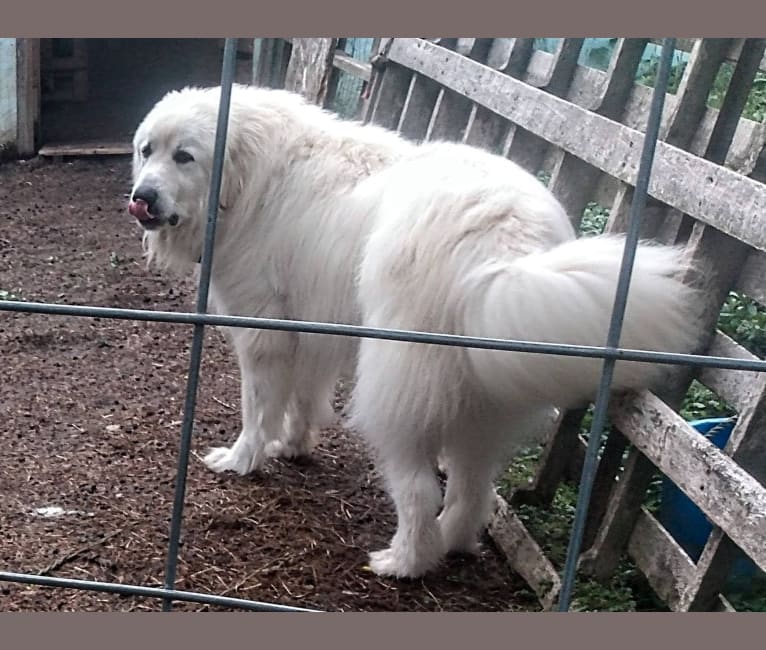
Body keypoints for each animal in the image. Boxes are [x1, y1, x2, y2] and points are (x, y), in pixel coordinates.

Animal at [129, 83, 704, 576]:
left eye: (185, 156)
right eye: (145, 150)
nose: (142, 197)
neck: (251, 177)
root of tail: (505, 248)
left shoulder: (262, 332)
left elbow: (258, 408)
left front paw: (243, 459)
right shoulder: (315, 328)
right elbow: (304, 397)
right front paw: (293, 445)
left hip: (395, 395)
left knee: (420, 491)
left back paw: (404, 563)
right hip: (484, 409)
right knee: (472, 490)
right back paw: (453, 543)